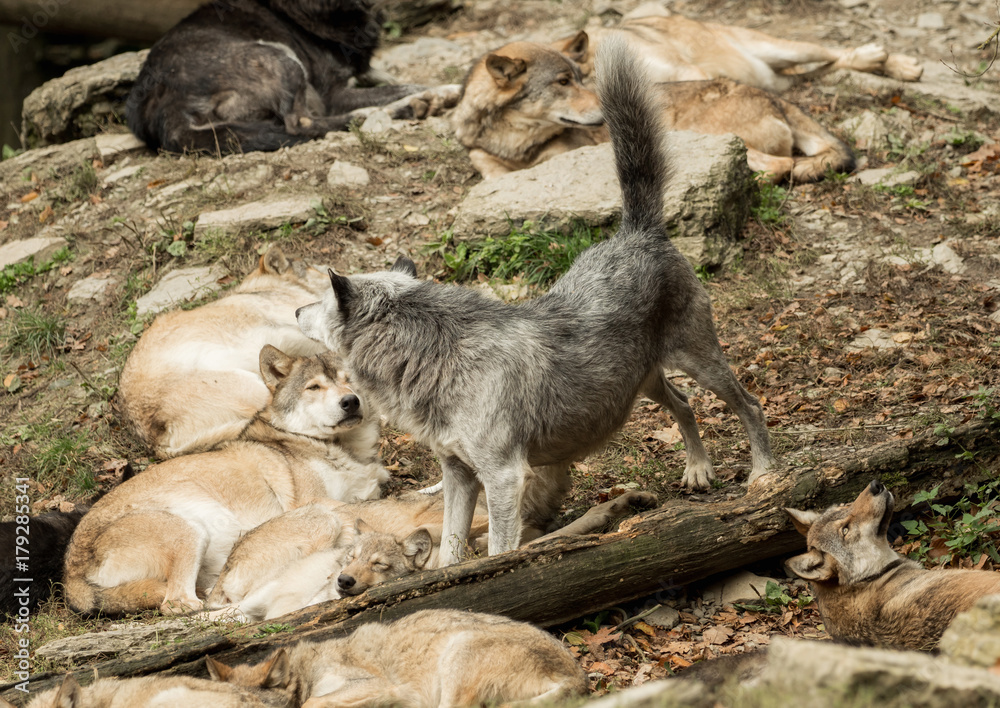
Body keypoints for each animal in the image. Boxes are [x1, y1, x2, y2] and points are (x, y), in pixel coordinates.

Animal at [64, 346, 388, 616]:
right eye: (314, 387)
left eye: (349, 381)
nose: (350, 401)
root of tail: (70, 576)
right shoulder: (312, 501)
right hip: (190, 530)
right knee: (181, 604)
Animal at [127, 0, 460, 154]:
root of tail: (163, 108)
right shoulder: (333, 95)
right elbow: (410, 84)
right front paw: (446, 89)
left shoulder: (366, 74)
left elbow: (393, 79)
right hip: (281, 59)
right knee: (303, 123)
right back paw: (403, 108)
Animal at [297, 40, 774, 566]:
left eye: (316, 301)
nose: (295, 312)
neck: (437, 357)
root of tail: (637, 231)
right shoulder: (458, 474)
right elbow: (450, 550)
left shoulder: (504, 477)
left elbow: (496, 550)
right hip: (643, 381)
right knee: (685, 405)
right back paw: (697, 471)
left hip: (700, 361)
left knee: (750, 405)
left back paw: (763, 474)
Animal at [452, 39, 854, 182]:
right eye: (563, 82)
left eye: (581, 79)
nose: (606, 111)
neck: (514, 143)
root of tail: (774, 97)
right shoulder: (482, 156)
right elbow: (488, 169)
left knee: (782, 165)